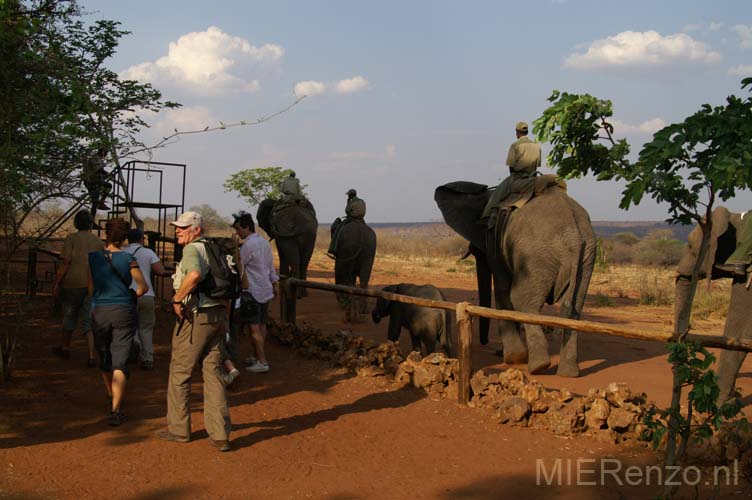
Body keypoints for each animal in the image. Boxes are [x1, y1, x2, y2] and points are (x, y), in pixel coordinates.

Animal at [432, 182, 596, 376]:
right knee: (574, 309)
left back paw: (537, 366)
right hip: (586, 256)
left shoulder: (495, 239)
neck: (489, 196)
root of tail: (574, 238)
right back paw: (568, 373)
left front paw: (512, 358)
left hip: (535, 255)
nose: (487, 345)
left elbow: (503, 289)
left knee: (521, 300)